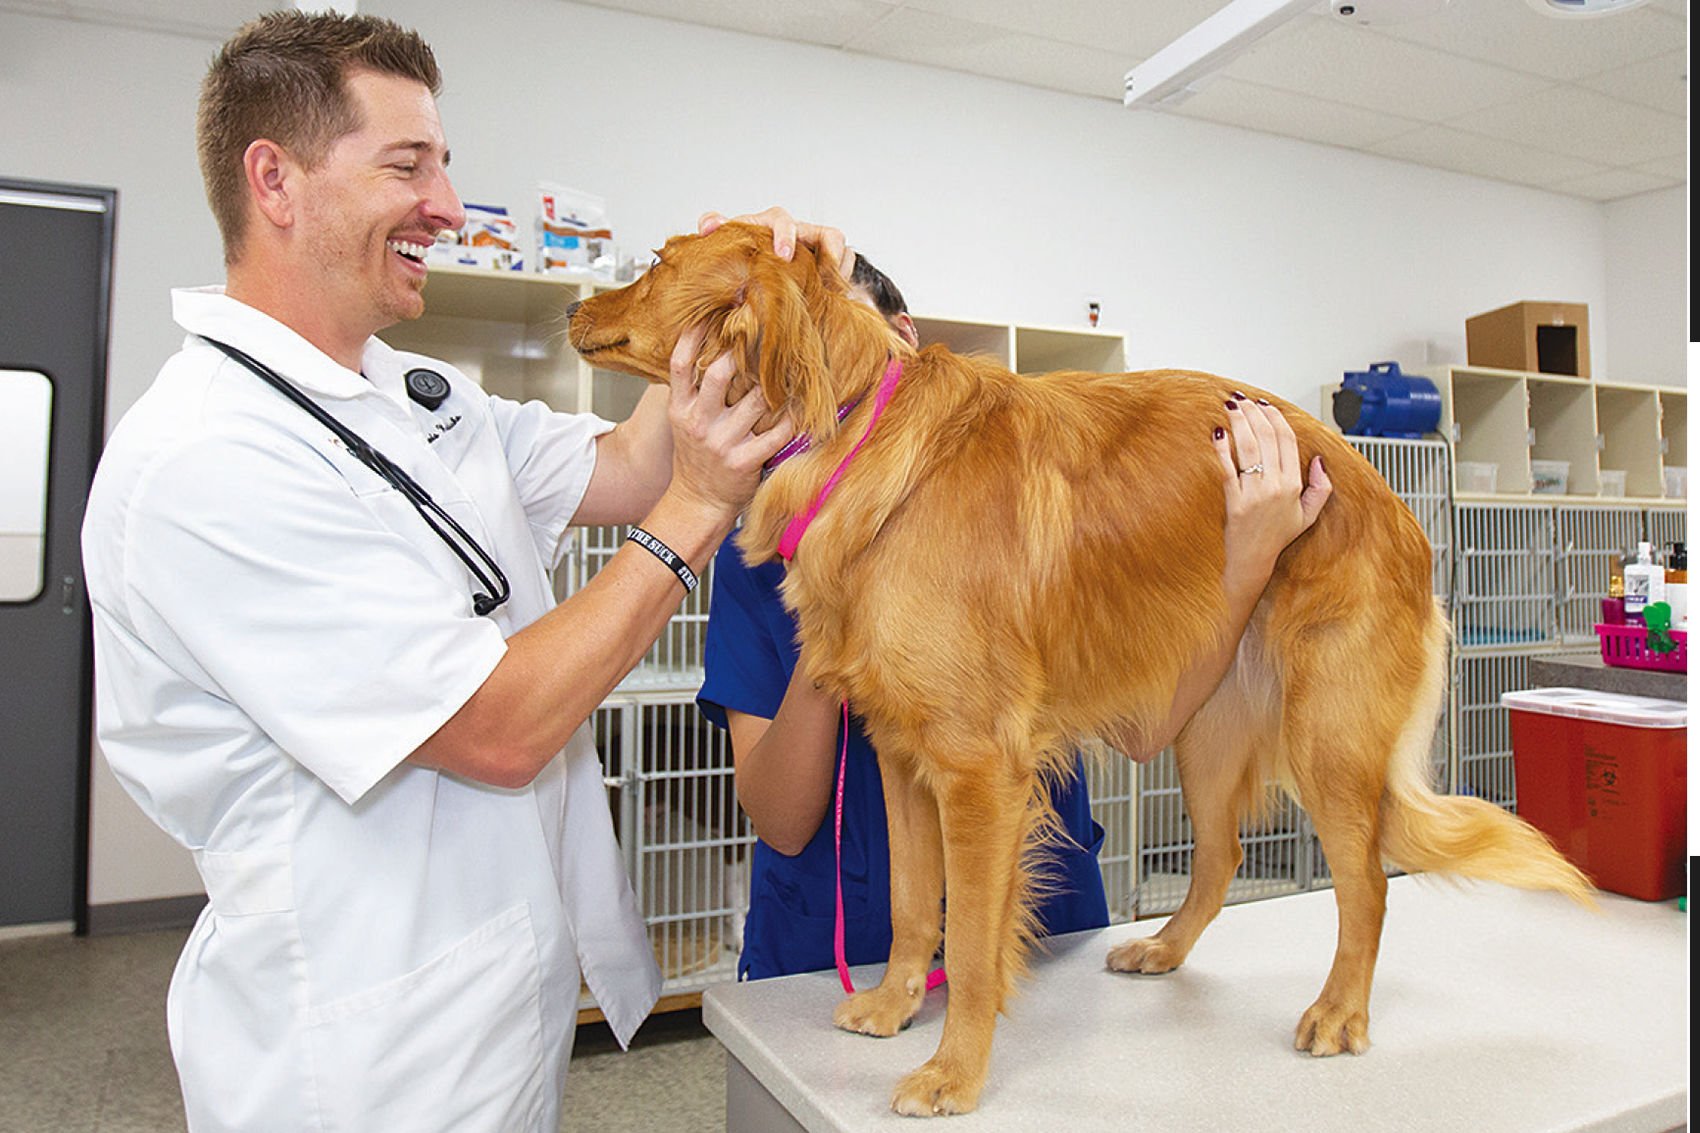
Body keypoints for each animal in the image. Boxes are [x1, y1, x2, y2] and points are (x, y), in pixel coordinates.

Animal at [567, 222, 1591, 1109]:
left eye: (656, 261)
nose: (572, 306)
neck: (853, 427)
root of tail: (1403, 513)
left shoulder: (979, 770)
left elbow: (971, 945)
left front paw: (956, 1072)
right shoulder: (901, 759)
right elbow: (910, 904)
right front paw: (897, 1005)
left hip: (1327, 743)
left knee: (1368, 880)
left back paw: (1339, 1010)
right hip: (1204, 736)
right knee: (1219, 858)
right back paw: (1163, 948)